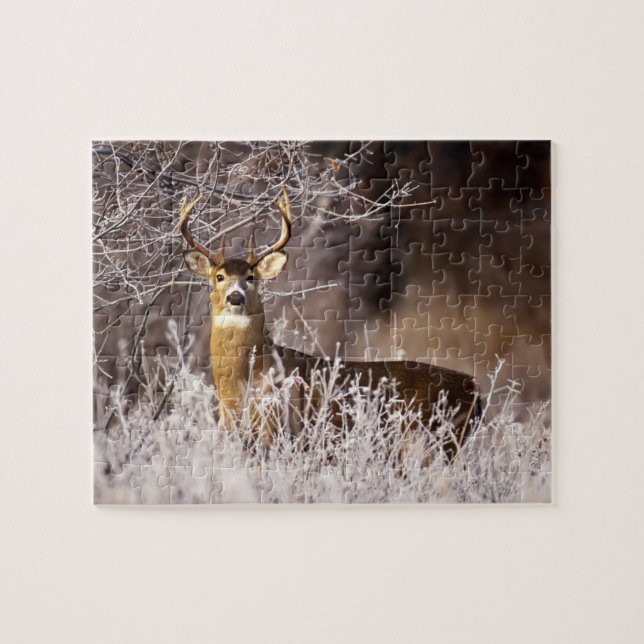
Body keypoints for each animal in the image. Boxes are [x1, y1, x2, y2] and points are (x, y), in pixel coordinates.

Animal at [179, 188, 480, 456]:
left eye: (251, 277)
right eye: (218, 276)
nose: (235, 297)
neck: (239, 386)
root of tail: (475, 390)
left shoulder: (277, 433)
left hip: (434, 440)